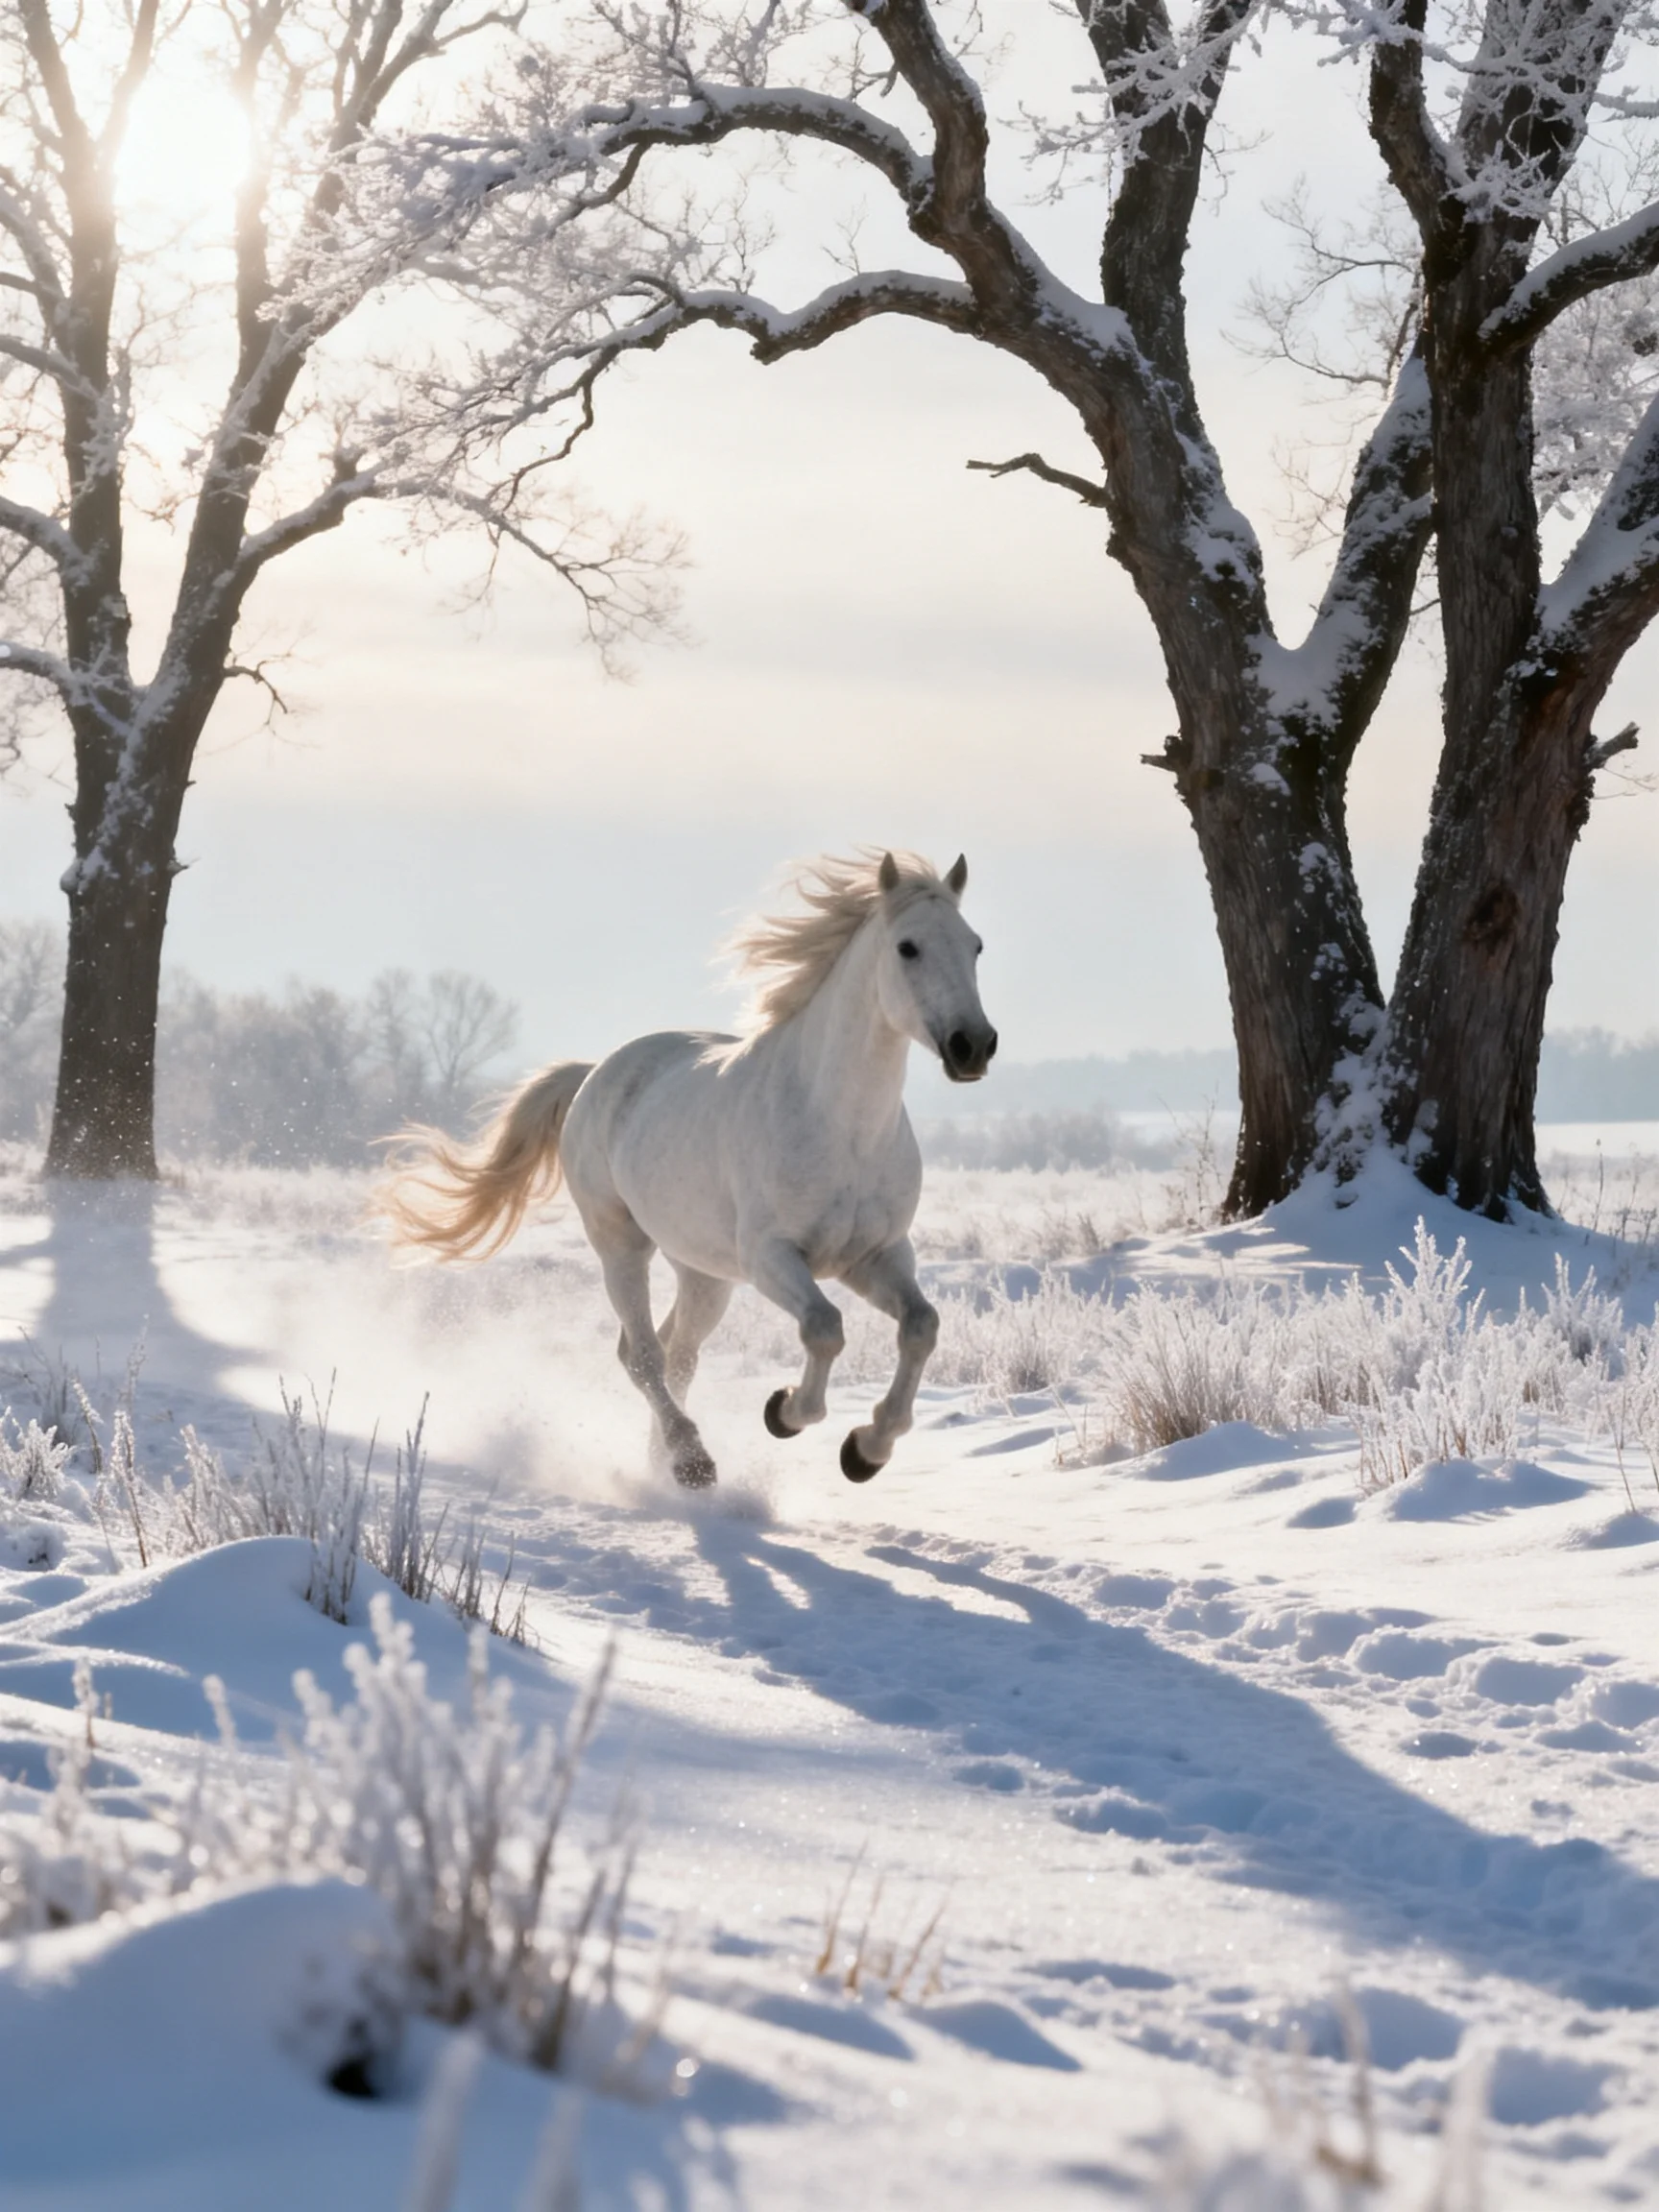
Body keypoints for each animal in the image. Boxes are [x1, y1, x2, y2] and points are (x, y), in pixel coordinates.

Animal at [379, 850, 997, 1488]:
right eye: (908, 947)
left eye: (975, 945)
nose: (973, 1046)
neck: (841, 1126)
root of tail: (594, 1072)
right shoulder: (772, 1257)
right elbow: (824, 1328)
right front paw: (785, 1413)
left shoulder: (876, 1256)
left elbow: (921, 1326)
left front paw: (866, 1450)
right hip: (621, 1244)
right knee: (642, 1354)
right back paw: (692, 1460)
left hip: (705, 1274)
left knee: (678, 1354)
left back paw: (666, 1462)